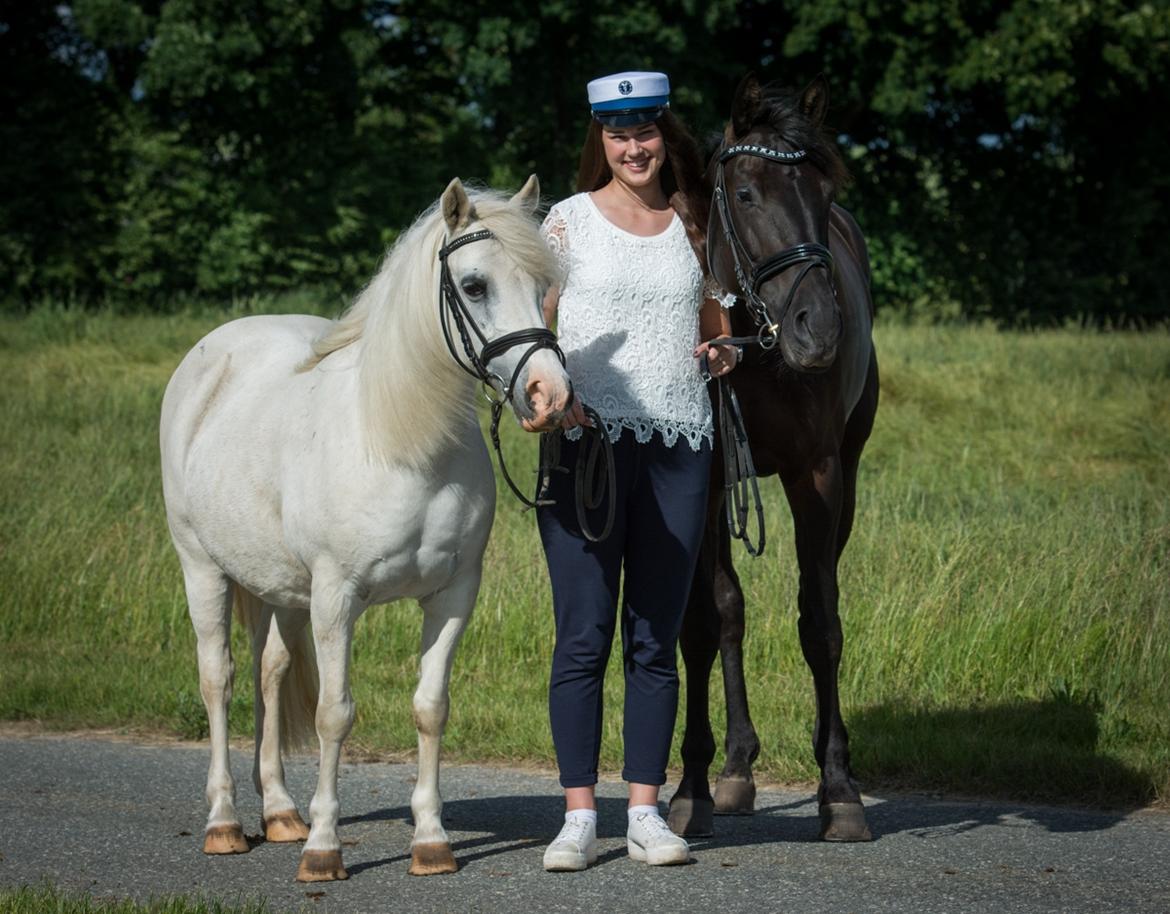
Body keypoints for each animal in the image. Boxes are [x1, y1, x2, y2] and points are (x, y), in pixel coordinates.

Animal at [160, 174, 570, 880]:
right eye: (473, 286)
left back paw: (281, 812)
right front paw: (325, 851)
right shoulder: (337, 599)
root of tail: (210, 354)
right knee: (219, 678)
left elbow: (430, 708)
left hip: (281, 590)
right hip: (203, 568)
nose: (550, 394)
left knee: (270, 673)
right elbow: (334, 714)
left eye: (542, 284)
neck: (403, 446)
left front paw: (431, 841)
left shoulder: (453, 595)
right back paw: (226, 822)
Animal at [669, 76, 879, 842]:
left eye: (823, 190)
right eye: (746, 193)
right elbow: (704, 624)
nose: (819, 329)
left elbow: (821, 624)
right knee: (728, 610)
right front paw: (693, 788)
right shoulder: (702, 481)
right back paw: (733, 767)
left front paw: (838, 789)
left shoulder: (816, 473)